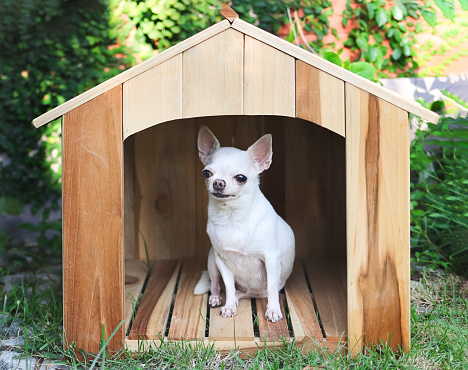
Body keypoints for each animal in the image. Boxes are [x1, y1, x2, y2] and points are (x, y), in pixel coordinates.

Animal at [192, 125, 294, 322]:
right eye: (206, 173)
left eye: (241, 178)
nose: (218, 182)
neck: (232, 217)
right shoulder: (221, 260)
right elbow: (229, 286)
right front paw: (229, 306)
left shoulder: (271, 259)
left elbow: (272, 288)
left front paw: (273, 310)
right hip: (212, 260)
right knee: (218, 285)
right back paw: (217, 298)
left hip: (257, 289)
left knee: (252, 292)